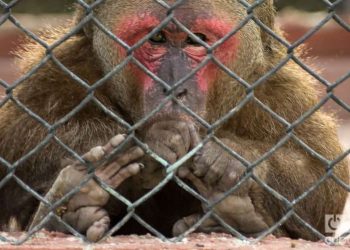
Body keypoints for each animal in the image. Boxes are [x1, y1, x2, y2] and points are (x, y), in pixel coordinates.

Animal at [0, 0, 348, 243]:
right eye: (157, 38)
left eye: (196, 40)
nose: (174, 86)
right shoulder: (59, 69)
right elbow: (12, 162)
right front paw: (152, 142)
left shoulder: (275, 89)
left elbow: (323, 185)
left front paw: (230, 157)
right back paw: (72, 207)